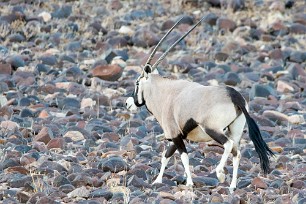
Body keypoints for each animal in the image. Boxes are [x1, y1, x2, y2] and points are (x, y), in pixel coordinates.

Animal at [125, 15, 274, 190]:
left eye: (137, 83)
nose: (128, 103)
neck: (165, 92)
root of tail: (233, 95)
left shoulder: (175, 135)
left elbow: (183, 157)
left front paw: (189, 182)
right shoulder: (179, 136)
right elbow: (166, 156)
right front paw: (158, 181)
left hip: (212, 129)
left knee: (228, 145)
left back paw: (220, 174)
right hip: (235, 130)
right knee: (237, 153)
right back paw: (232, 186)